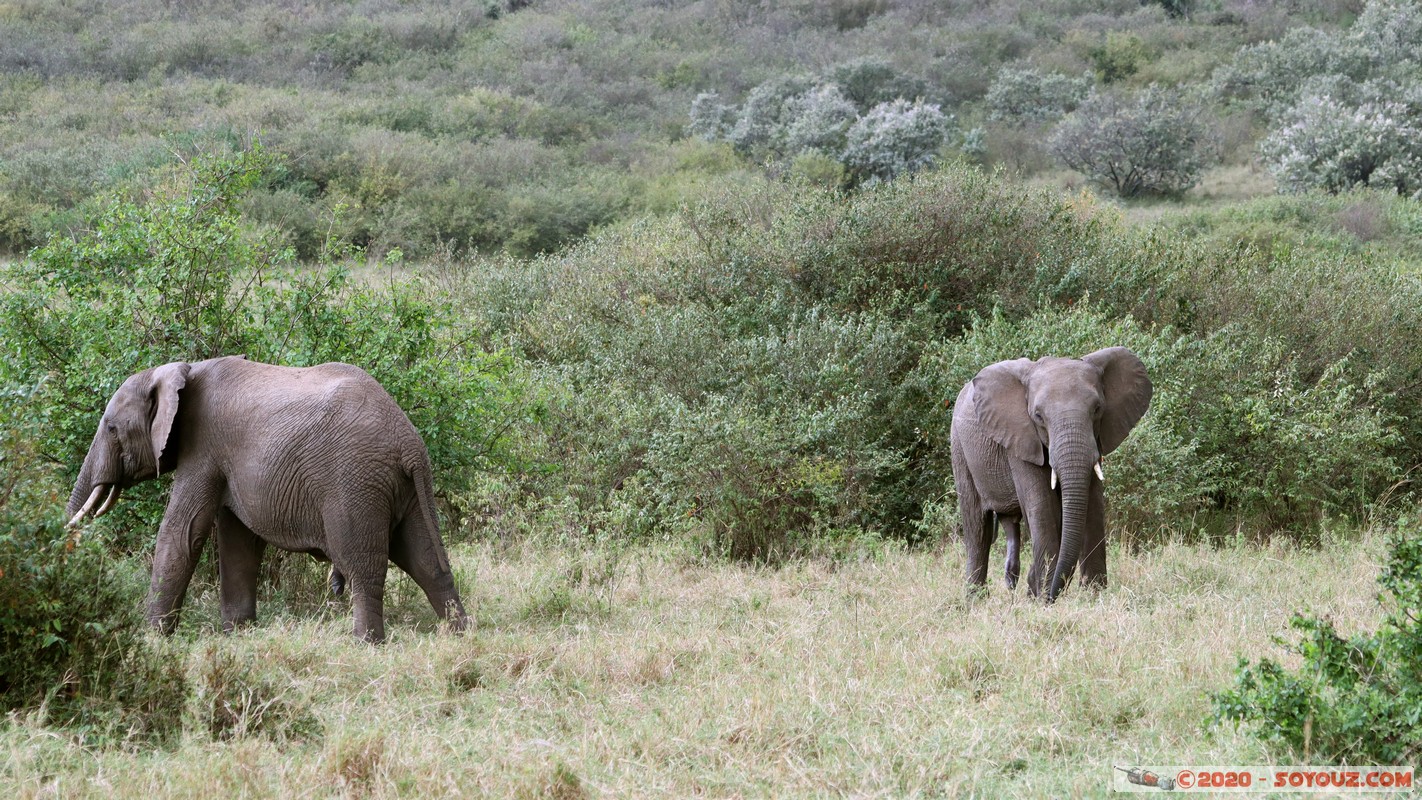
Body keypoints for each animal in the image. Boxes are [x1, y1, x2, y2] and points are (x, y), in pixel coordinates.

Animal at [66, 356, 469, 645]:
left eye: (111, 428)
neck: (180, 369)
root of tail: (409, 444)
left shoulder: (204, 448)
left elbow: (181, 532)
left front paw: (151, 641)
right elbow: (237, 540)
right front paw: (239, 635)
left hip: (355, 484)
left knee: (363, 567)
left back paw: (365, 646)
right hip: (404, 489)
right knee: (428, 563)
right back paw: (461, 636)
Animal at [949, 348, 1148, 605]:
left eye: (1097, 409)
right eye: (1038, 416)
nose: (1052, 594)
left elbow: (1092, 506)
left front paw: (1093, 596)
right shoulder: (1021, 436)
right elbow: (1042, 506)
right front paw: (1043, 597)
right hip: (959, 447)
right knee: (977, 528)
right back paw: (976, 601)